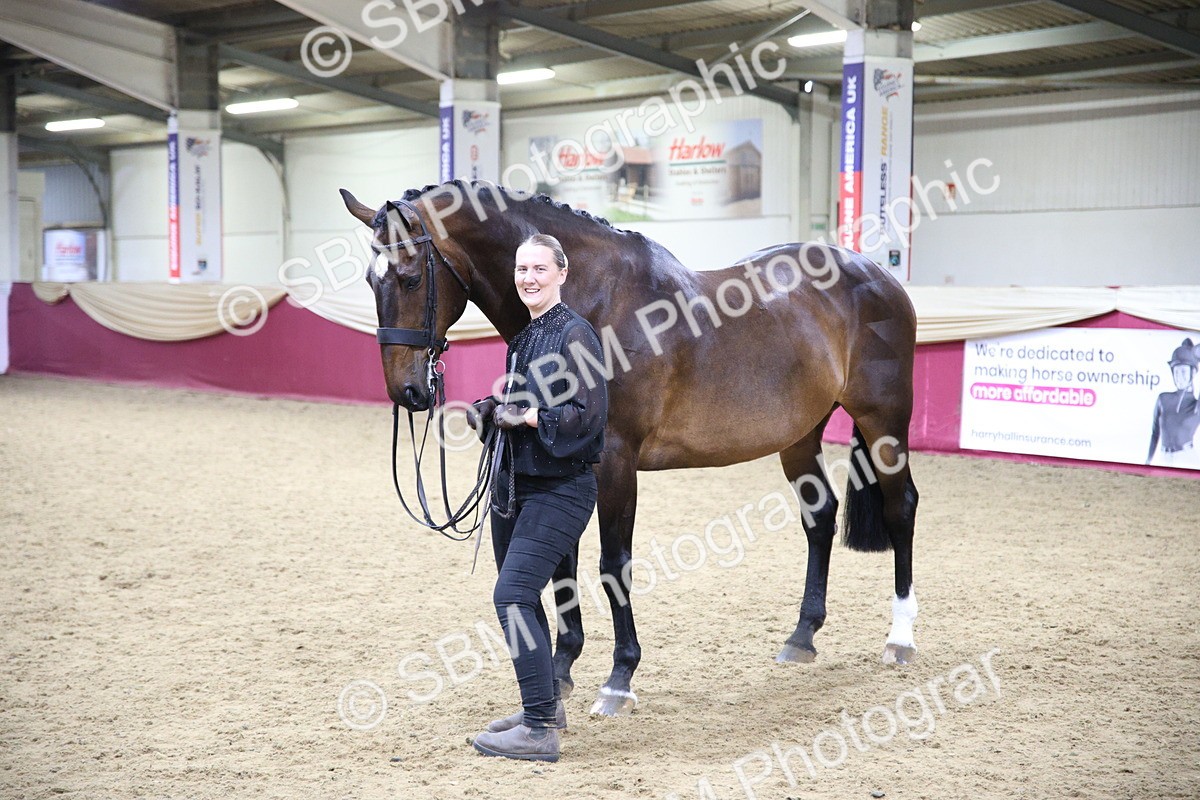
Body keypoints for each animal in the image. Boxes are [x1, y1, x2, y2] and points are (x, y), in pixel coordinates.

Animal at [340, 180, 920, 716]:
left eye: (411, 278)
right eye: (370, 280)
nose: (407, 391)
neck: (593, 299)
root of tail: (879, 274)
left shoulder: (615, 462)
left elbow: (612, 564)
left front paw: (619, 678)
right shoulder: (563, 463)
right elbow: (561, 566)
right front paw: (562, 669)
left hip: (884, 421)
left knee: (901, 507)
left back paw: (900, 638)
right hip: (799, 435)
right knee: (819, 516)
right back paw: (802, 637)